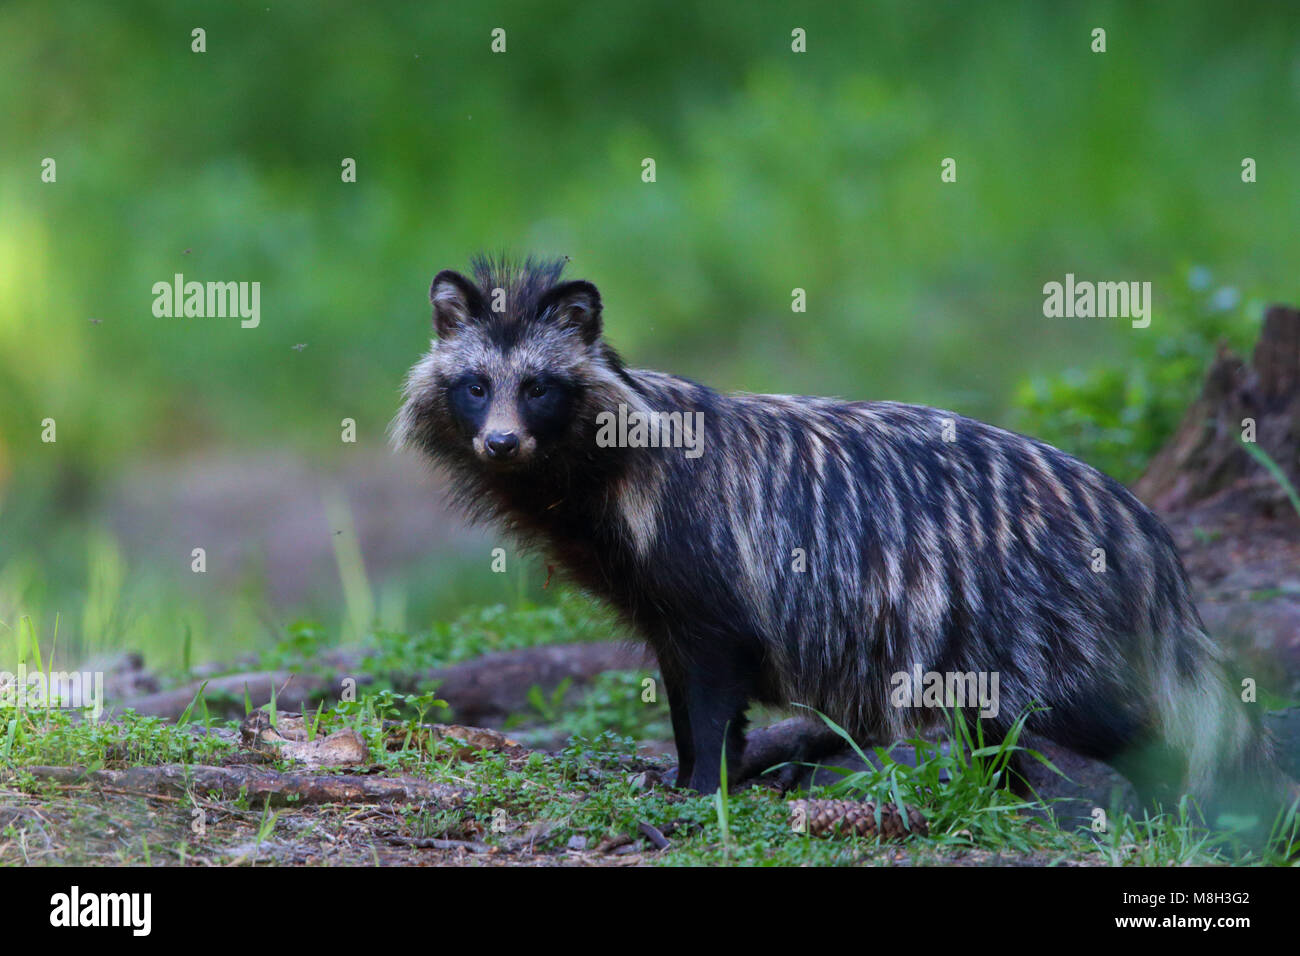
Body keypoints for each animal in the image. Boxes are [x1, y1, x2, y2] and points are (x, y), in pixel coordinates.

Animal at [393, 255, 1292, 831]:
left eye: (538, 387)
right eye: (475, 385)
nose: (501, 443)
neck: (616, 461)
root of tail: (1142, 530)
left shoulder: (710, 576)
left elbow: (713, 696)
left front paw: (702, 794)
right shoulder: (662, 605)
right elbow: (686, 697)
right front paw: (689, 778)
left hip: (1046, 629)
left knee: (1147, 721)